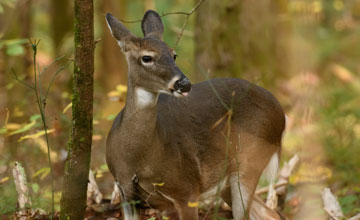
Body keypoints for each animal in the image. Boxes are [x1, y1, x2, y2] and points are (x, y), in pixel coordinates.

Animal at [105, 10, 286, 220]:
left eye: (174, 55)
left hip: (250, 159)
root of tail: (281, 112)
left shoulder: (187, 189)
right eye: (147, 58)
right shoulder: (125, 192)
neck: (139, 159)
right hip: (227, 179)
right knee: (269, 213)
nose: (184, 84)